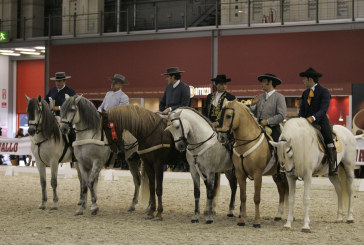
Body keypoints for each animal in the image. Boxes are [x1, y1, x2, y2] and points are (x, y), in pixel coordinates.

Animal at [218, 99, 288, 228]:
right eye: (220, 115)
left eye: (228, 116)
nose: (221, 137)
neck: (247, 143)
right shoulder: (240, 174)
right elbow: (243, 196)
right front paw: (241, 220)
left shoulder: (257, 174)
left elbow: (256, 197)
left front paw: (257, 222)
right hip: (276, 175)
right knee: (282, 191)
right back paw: (278, 215)